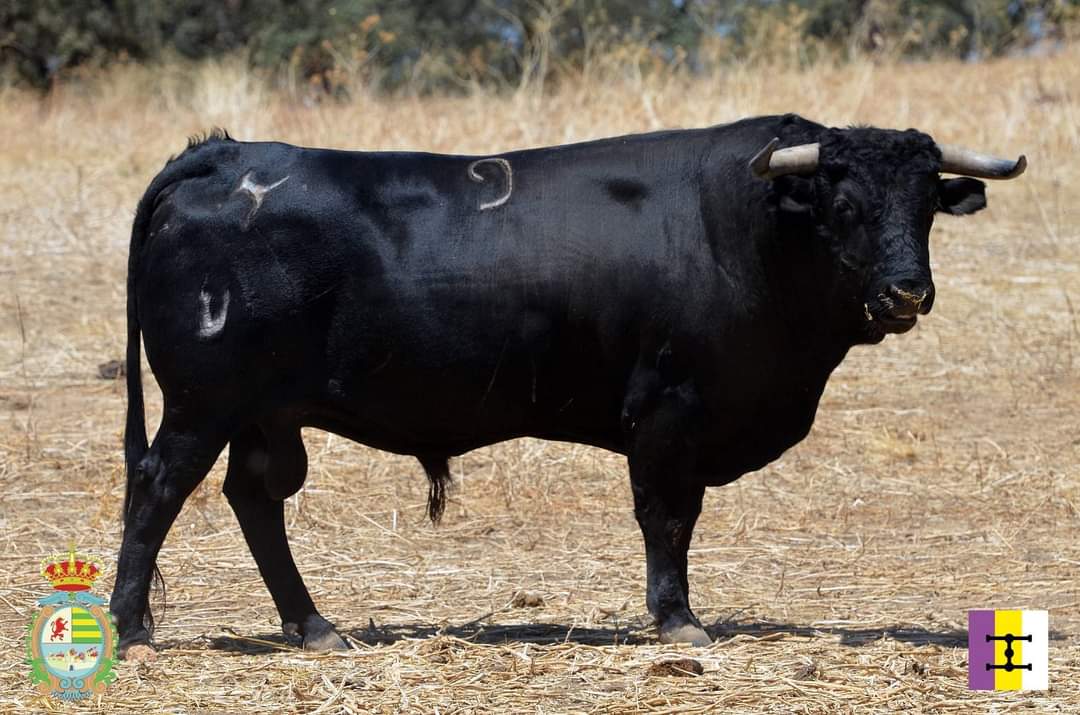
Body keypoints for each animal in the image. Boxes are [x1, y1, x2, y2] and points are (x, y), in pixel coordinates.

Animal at [111, 114, 1025, 659]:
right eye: (842, 203)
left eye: (926, 205)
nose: (907, 292)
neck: (746, 227)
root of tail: (227, 153)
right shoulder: (667, 413)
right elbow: (666, 518)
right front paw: (677, 617)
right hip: (203, 404)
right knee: (157, 488)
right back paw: (128, 625)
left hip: (262, 415)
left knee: (253, 501)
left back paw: (313, 625)